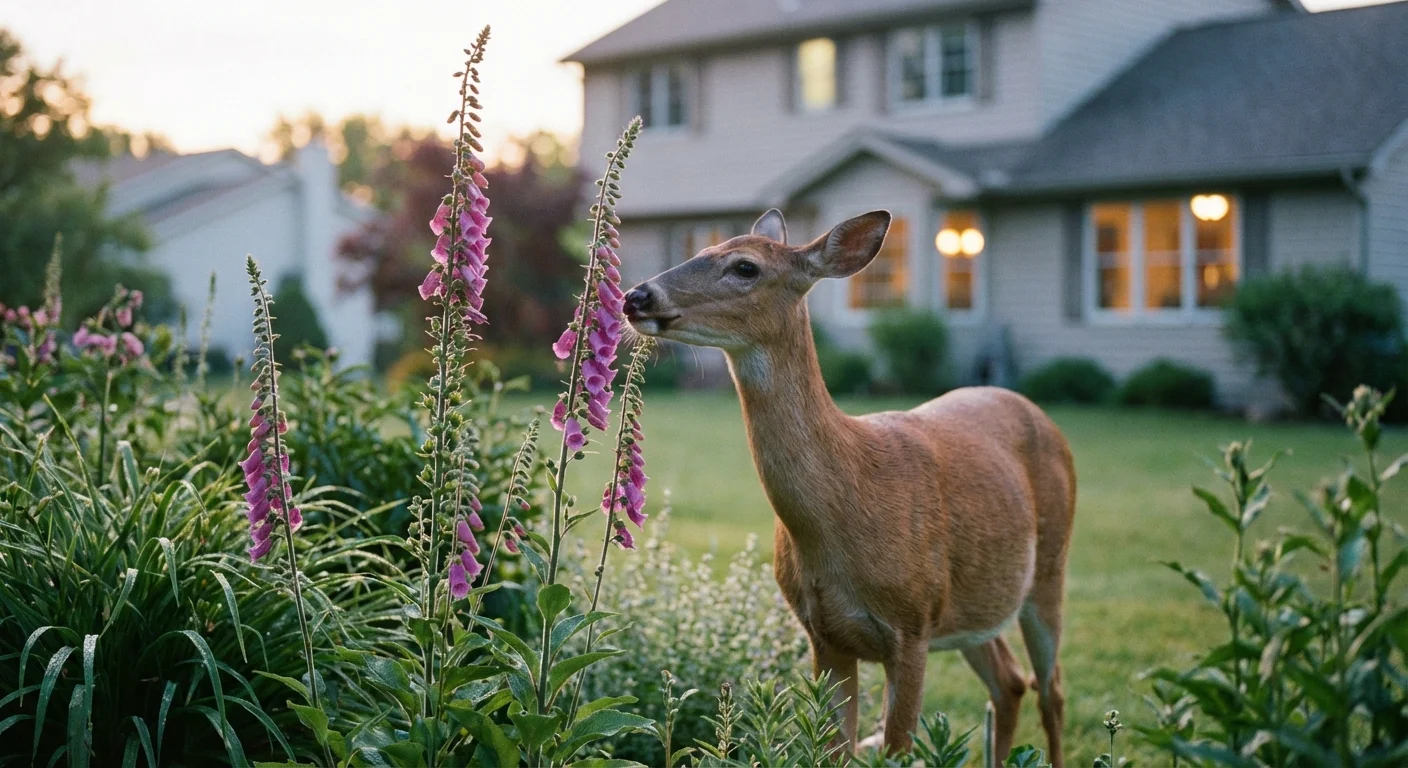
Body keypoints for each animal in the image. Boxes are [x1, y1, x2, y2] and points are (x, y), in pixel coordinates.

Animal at [621, 208, 1076, 765]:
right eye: (701, 249)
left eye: (745, 266)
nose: (636, 296)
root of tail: (1036, 412)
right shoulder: (826, 636)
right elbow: (832, 748)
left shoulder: (911, 627)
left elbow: (896, 748)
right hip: (972, 602)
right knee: (1010, 683)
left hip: (1049, 568)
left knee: (1051, 690)